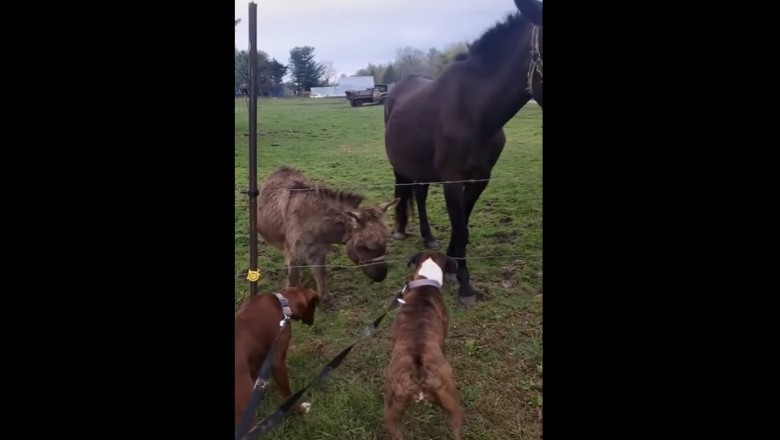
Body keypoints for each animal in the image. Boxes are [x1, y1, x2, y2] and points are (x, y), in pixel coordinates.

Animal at [233, 288, 318, 428]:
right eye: (314, 305)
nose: (312, 323)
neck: (282, 304)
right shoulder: (277, 361)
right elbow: (287, 395)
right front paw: (299, 410)